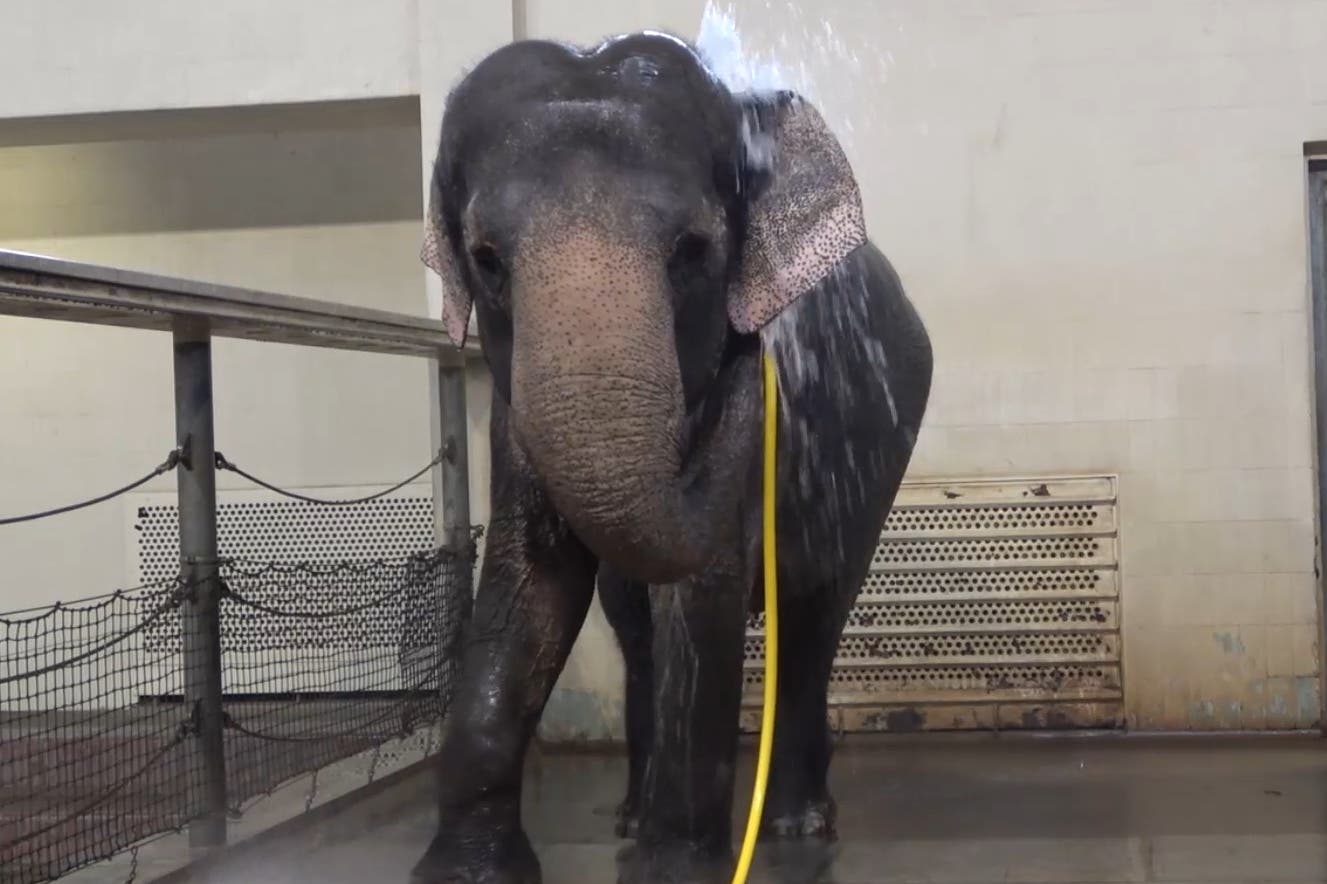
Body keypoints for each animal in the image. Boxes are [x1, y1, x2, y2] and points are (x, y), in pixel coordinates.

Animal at [414, 29, 934, 881]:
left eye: (693, 251)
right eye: (486, 259)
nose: (745, 355)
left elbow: (700, 587)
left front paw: (676, 867)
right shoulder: (511, 407)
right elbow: (532, 583)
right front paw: (467, 870)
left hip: (878, 453)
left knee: (811, 616)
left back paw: (795, 824)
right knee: (635, 628)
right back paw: (631, 815)